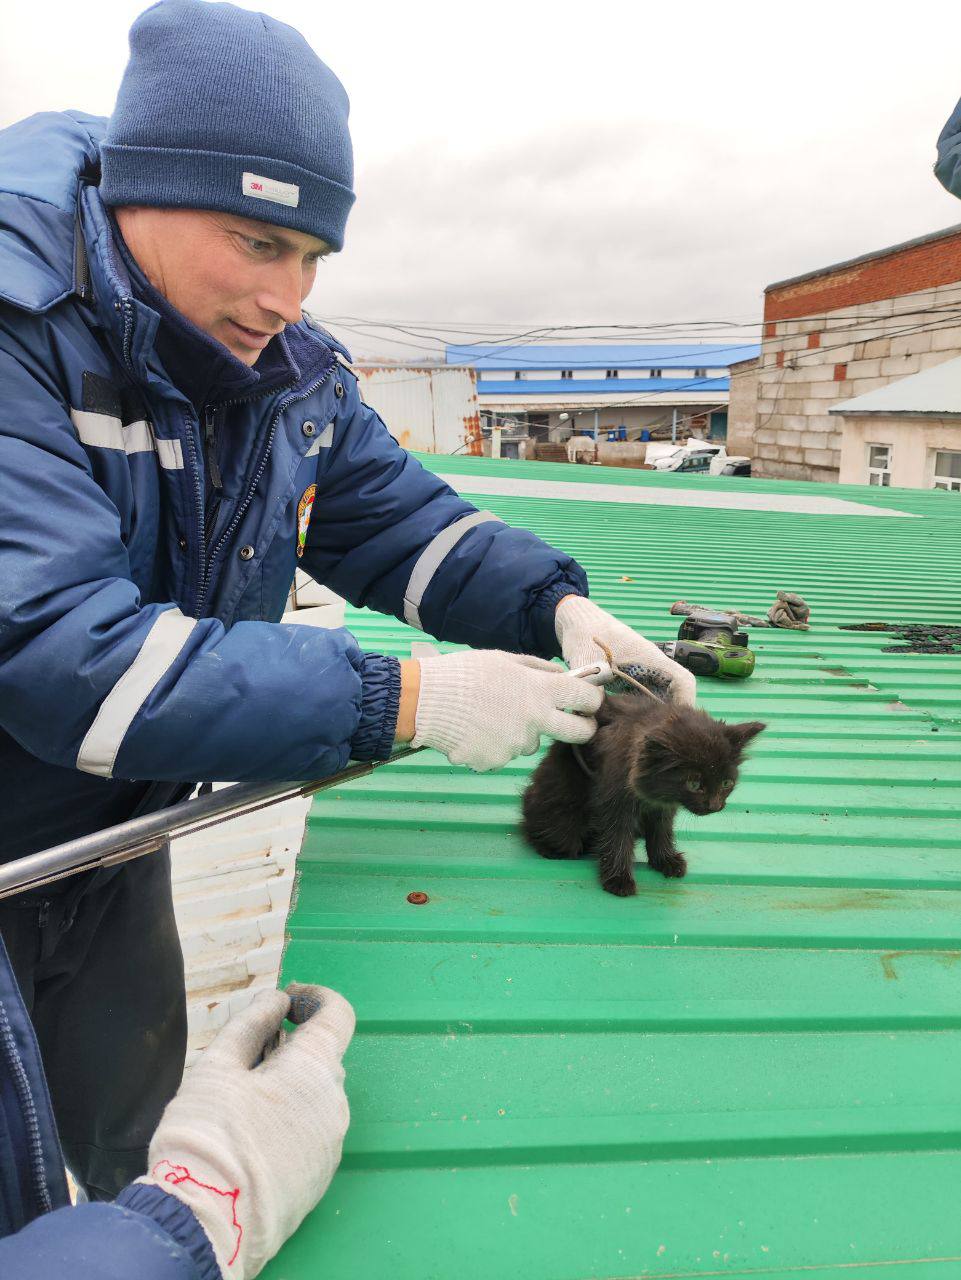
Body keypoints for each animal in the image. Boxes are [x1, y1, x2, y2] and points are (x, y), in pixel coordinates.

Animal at [522, 696, 762, 896]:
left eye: (726, 783)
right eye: (694, 784)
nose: (714, 806)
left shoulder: (662, 807)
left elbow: (662, 832)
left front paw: (665, 860)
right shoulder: (615, 802)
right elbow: (617, 839)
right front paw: (618, 879)